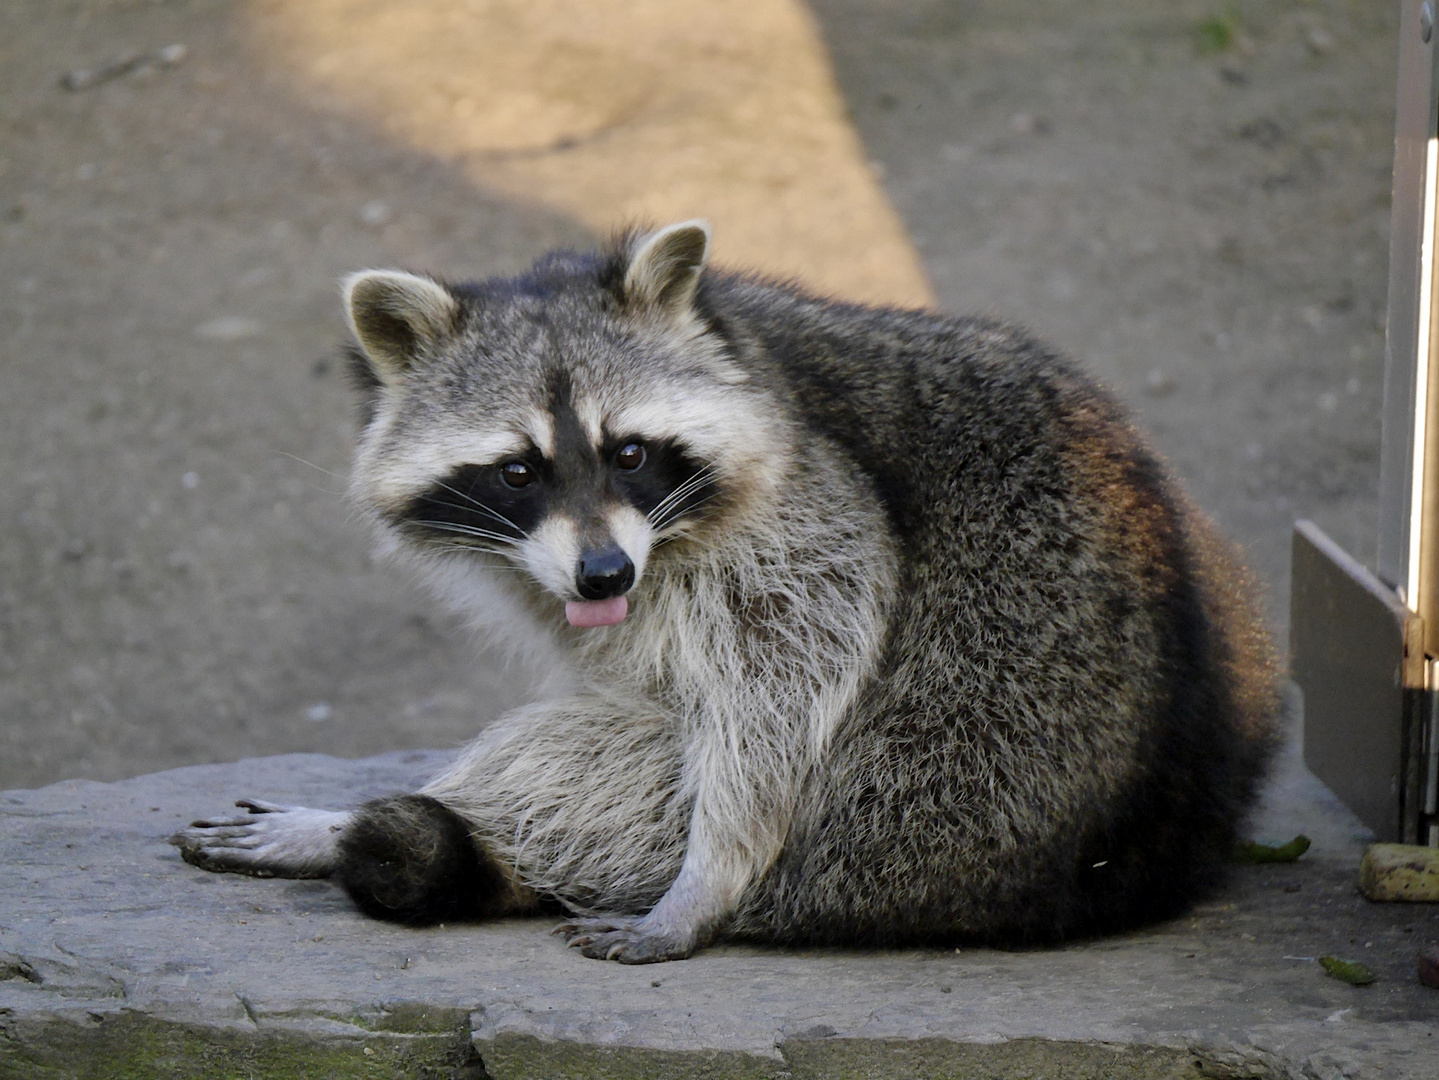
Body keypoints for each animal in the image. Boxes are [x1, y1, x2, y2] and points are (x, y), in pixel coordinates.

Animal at [171, 220, 1283, 960]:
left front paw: (706, 877)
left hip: (905, 810)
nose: (604, 575)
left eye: (628, 452)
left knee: (609, 754)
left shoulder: (810, 501)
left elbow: (779, 679)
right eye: (517, 471)